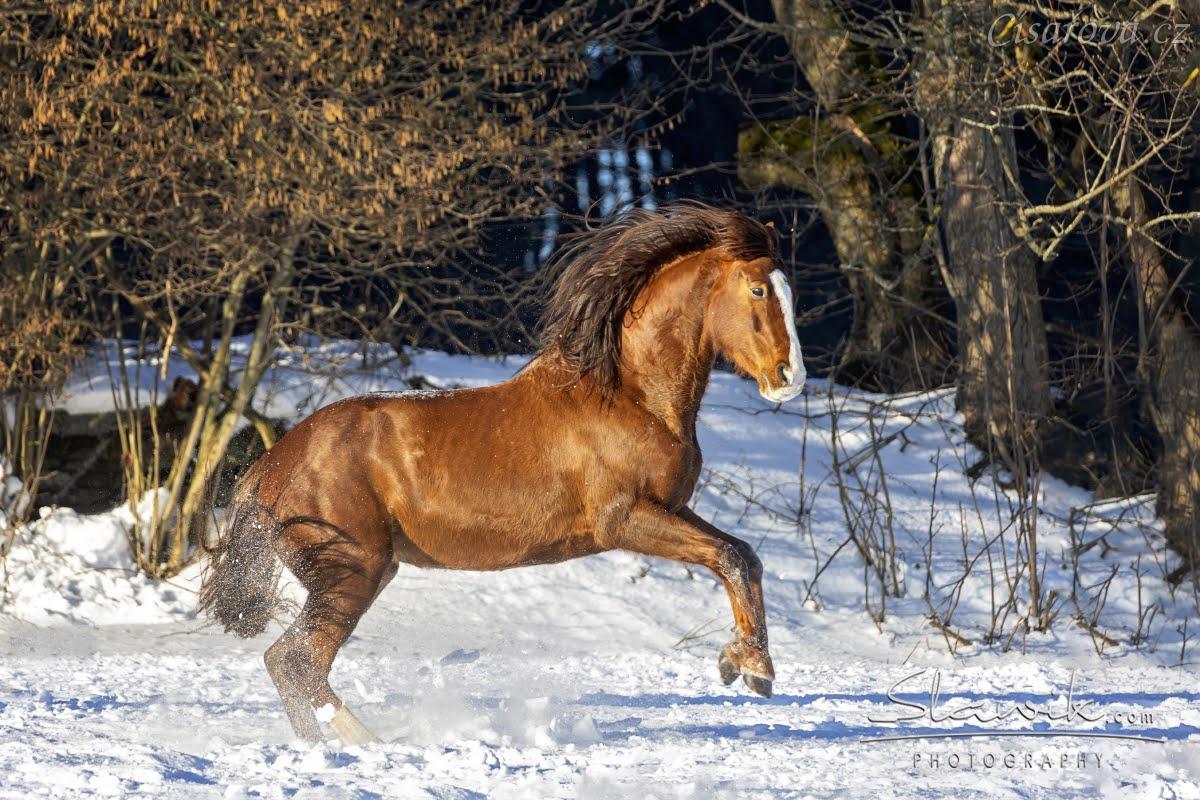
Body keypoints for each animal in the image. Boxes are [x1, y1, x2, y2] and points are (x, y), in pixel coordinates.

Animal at [198, 202, 806, 746]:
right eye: (758, 291)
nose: (789, 378)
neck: (629, 397)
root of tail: (268, 467)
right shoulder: (624, 520)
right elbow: (728, 557)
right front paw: (751, 668)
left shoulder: (672, 508)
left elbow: (744, 556)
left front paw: (745, 663)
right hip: (353, 570)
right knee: (295, 661)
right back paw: (367, 743)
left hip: (358, 572)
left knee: (291, 664)